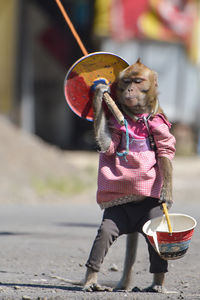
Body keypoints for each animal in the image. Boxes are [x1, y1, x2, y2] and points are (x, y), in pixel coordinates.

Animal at [82, 58, 176, 292]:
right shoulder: (117, 124)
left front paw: (167, 193)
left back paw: (157, 283)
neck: (137, 115)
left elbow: (165, 150)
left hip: (149, 214)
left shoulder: (159, 121)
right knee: (105, 233)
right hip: (119, 214)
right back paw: (91, 280)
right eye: (126, 81)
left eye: (138, 81)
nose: (130, 89)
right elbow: (109, 146)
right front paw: (100, 94)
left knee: (156, 240)